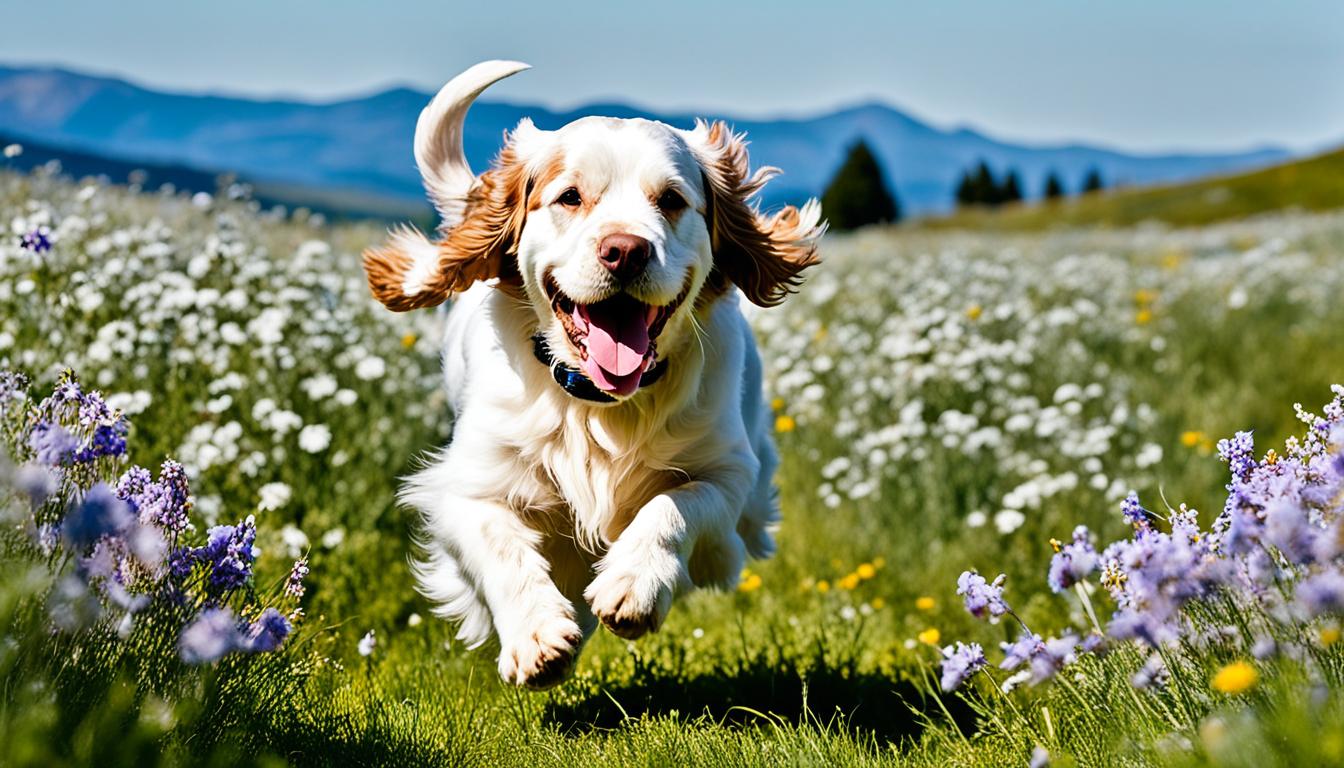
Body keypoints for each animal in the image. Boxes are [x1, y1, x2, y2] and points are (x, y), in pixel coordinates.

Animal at [365, 58, 817, 685]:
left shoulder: (729, 473)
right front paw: (536, 636)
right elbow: (501, 545)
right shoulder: (464, 487)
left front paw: (633, 586)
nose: (625, 250)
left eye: (671, 200)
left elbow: (673, 508)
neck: (599, 406)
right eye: (570, 197)